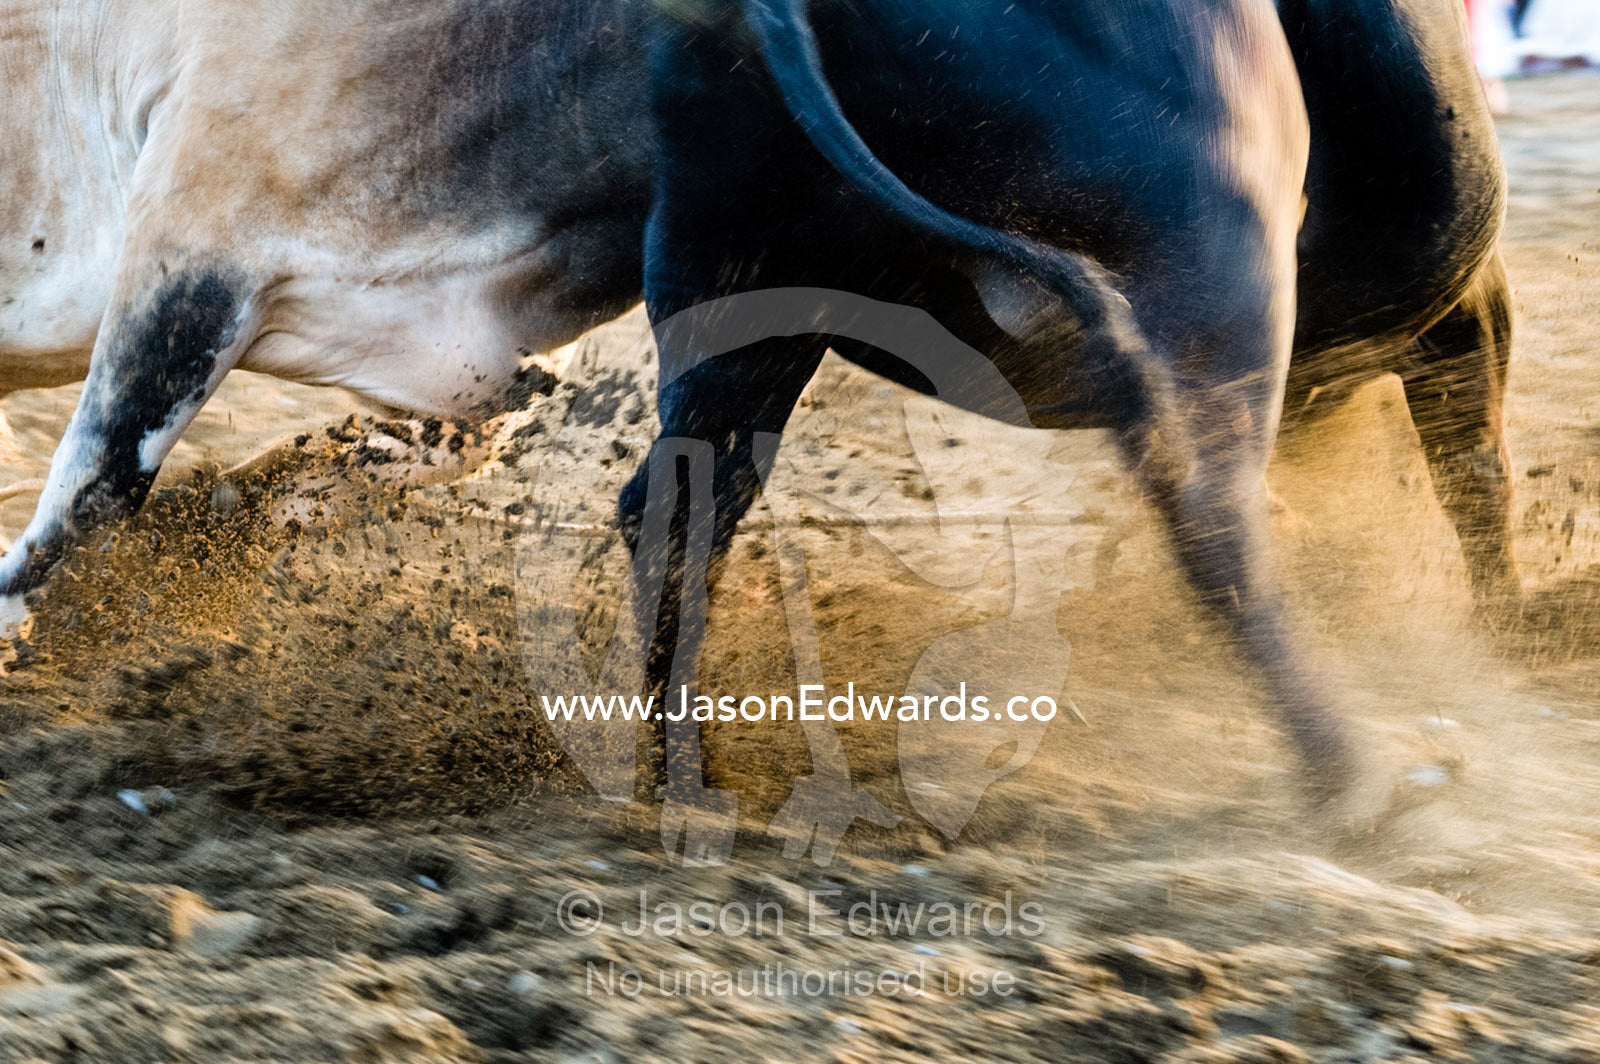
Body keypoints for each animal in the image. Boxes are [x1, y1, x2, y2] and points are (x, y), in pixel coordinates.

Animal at [621, 0, 1515, 857]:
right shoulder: (1465, 318)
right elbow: (1477, 478)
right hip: (1217, 261)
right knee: (1213, 518)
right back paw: (1362, 780)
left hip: (742, 286)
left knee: (677, 511)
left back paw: (675, 775)